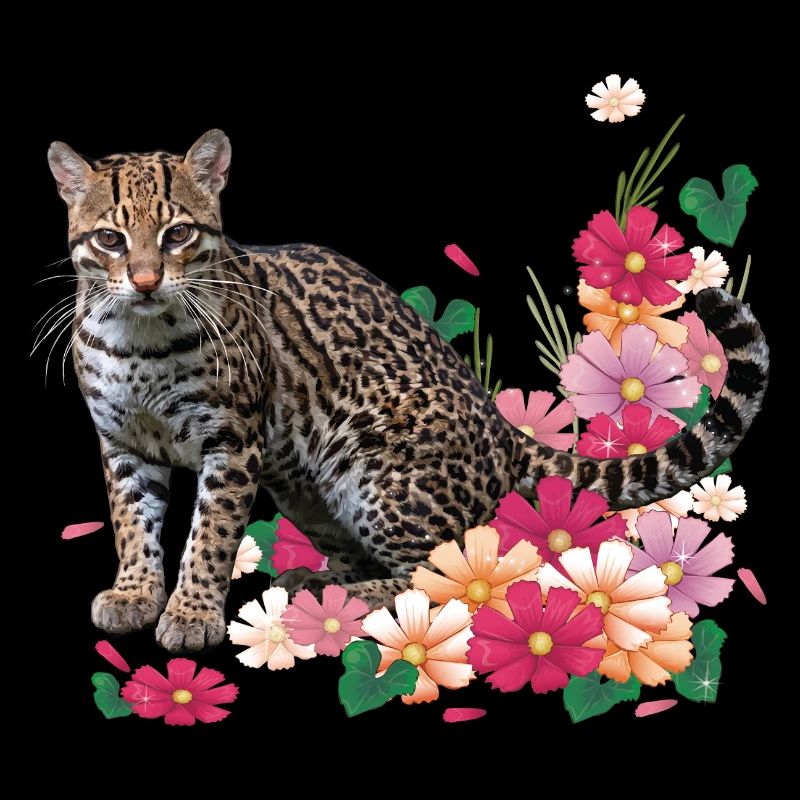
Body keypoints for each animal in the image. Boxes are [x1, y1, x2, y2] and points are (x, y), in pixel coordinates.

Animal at [45, 129, 768, 653]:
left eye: (178, 234)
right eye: (109, 239)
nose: (144, 281)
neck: (139, 340)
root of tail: (503, 431)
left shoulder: (233, 439)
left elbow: (210, 535)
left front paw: (192, 611)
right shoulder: (120, 442)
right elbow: (132, 523)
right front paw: (135, 594)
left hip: (373, 468)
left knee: (454, 576)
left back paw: (349, 602)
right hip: (306, 489)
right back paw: (320, 581)